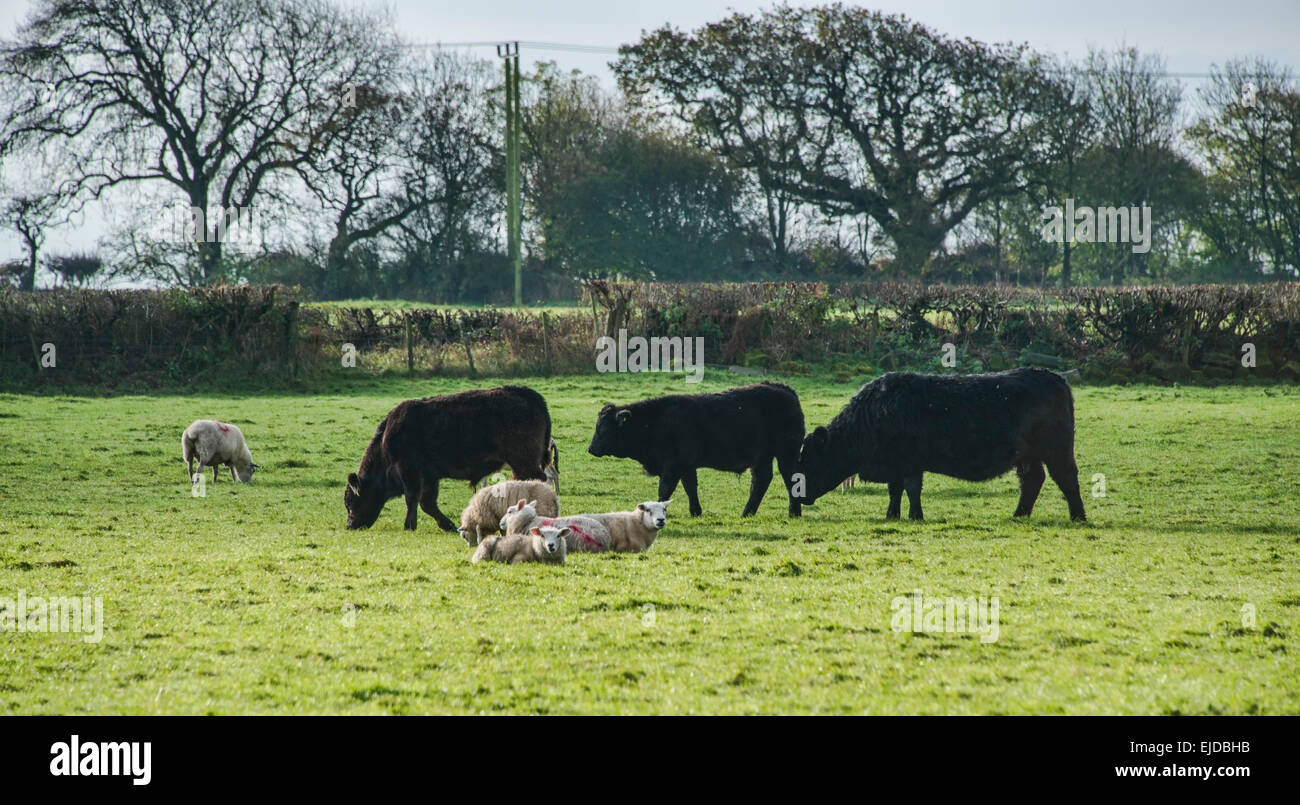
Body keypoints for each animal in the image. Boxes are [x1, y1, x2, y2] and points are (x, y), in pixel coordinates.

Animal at [345, 384, 548, 533]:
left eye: (351, 502)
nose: (349, 526)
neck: (386, 440)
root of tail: (526, 393)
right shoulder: (429, 476)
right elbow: (427, 503)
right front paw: (448, 525)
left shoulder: (409, 470)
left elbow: (412, 498)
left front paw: (409, 525)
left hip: (524, 462)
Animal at [587, 382, 800, 520]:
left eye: (603, 428)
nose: (591, 449)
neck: (655, 421)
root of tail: (783, 389)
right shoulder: (687, 466)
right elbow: (690, 487)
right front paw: (696, 512)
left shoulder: (672, 466)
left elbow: (665, 489)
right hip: (762, 458)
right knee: (761, 481)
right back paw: (747, 513)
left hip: (786, 454)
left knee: (790, 479)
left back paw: (793, 513)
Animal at [790, 371, 1086, 522]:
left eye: (810, 461)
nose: (798, 495)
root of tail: (1056, 378)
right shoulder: (895, 465)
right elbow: (895, 491)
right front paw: (892, 515)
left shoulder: (911, 463)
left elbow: (911, 489)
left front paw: (915, 516)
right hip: (1028, 457)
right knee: (1032, 481)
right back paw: (1018, 515)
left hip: (1058, 451)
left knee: (1067, 480)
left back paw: (1078, 517)